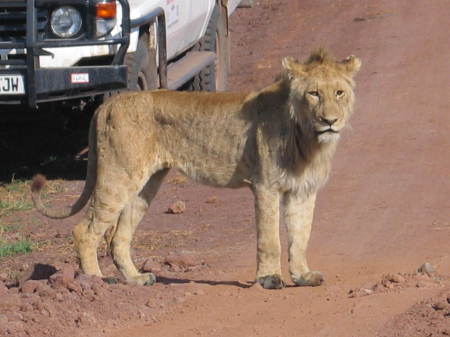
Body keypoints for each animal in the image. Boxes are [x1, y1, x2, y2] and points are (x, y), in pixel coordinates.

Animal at [31, 50, 362, 288]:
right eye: (314, 93)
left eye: (339, 93)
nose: (329, 121)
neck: (307, 136)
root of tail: (109, 104)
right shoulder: (265, 185)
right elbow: (270, 237)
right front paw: (270, 279)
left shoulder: (303, 190)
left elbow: (301, 234)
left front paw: (303, 276)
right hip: (118, 175)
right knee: (85, 231)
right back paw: (96, 281)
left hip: (146, 184)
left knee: (118, 237)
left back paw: (137, 278)